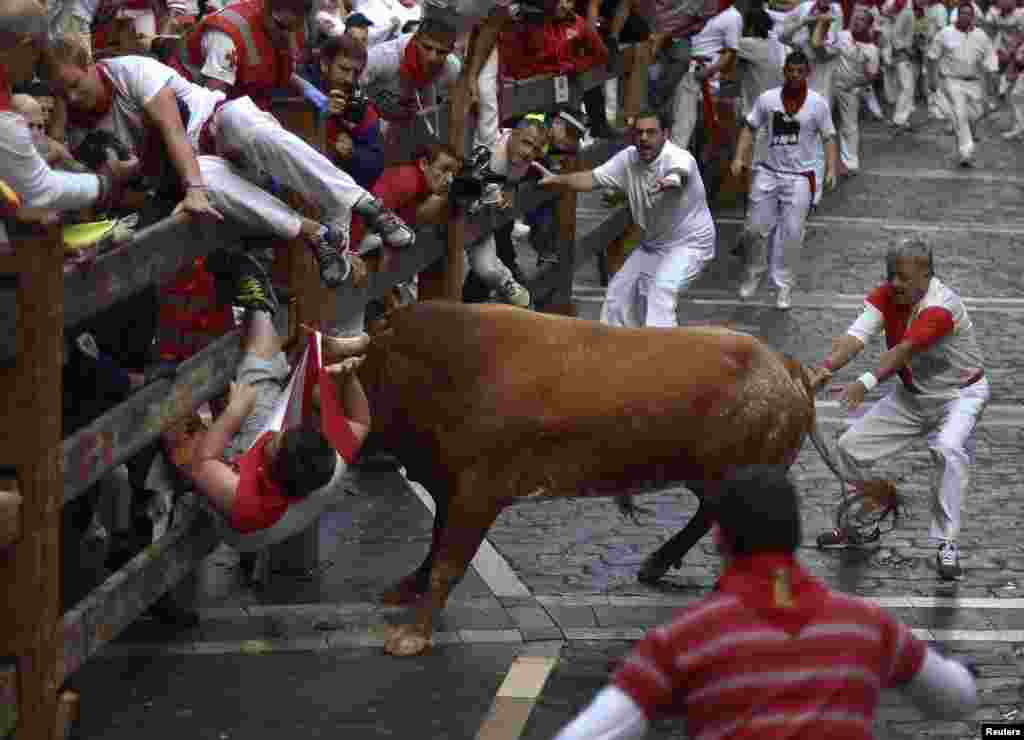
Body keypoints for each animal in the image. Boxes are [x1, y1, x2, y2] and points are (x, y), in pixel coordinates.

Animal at [362, 298, 897, 655]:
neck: (455, 369)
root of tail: (785, 367)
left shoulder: (478, 490)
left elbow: (450, 559)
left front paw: (412, 634)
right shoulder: (447, 484)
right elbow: (435, 542)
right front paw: (406, 588)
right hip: (707, 474)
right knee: (707, 515)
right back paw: (657, 565)